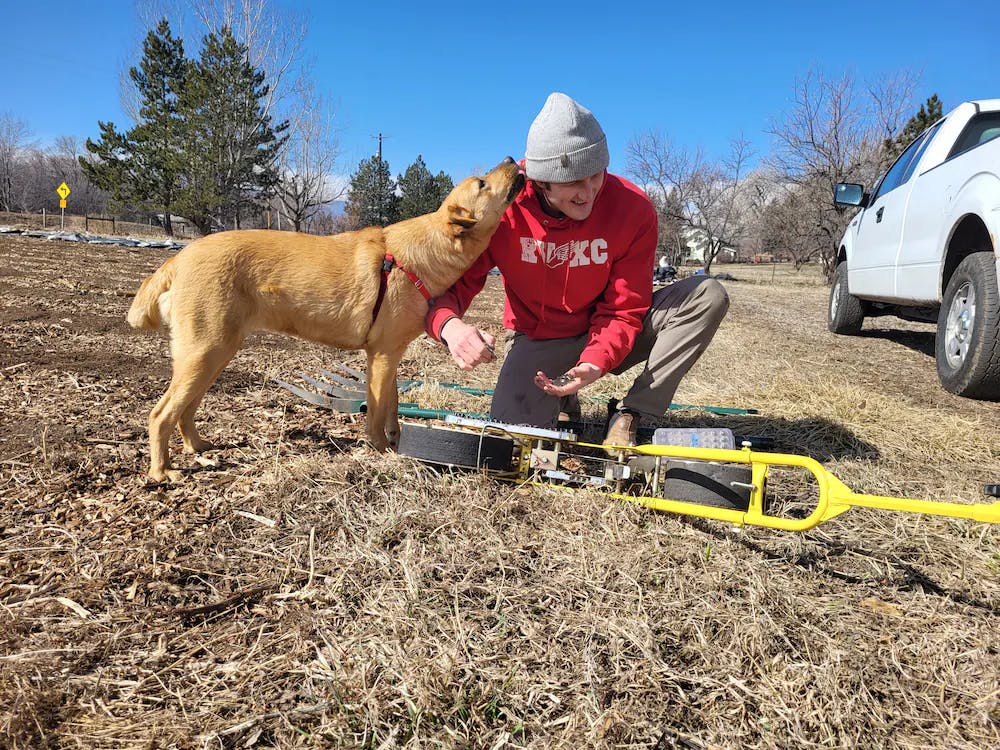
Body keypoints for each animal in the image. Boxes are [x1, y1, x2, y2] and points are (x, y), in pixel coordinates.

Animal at [127, 159, 524, 484]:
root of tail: (178, 258)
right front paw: (380, 450)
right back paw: (162, 471)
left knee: (184, 411)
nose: (512, 158)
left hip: (212, 355)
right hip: (206, 353)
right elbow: (376, 411)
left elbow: (393, 406)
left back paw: (199, 448)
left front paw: (397, 441)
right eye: (482, 183)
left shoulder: (390, 356)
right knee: (160, 414)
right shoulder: (381, 357)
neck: (424, 249)